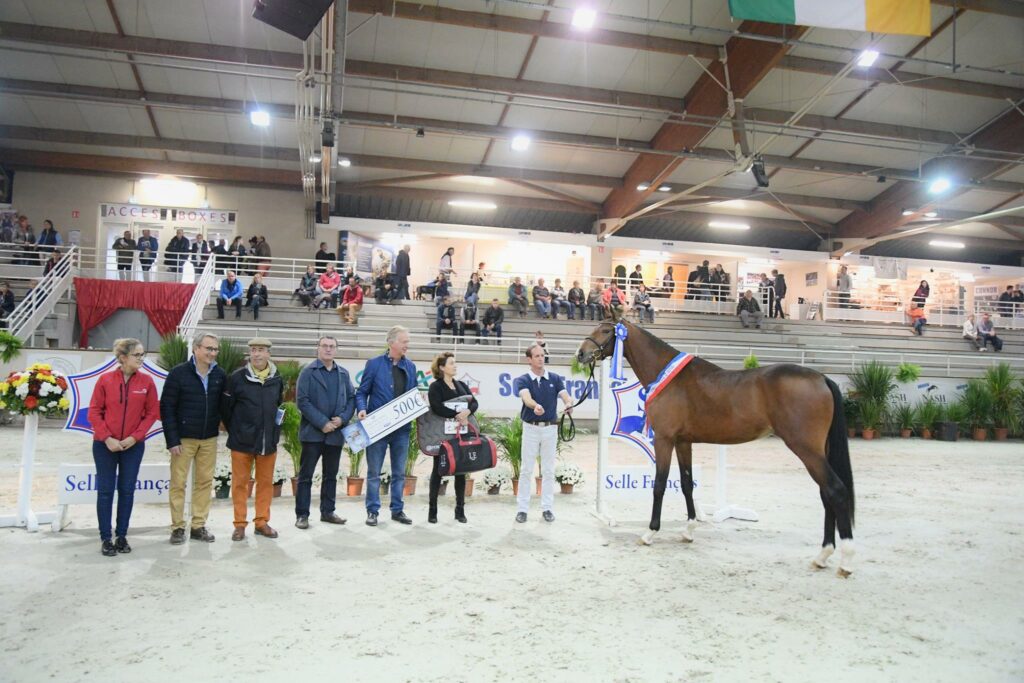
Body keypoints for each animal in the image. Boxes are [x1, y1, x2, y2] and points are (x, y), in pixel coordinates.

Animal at [577, 321, 856, 577]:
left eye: (605, 330)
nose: (581, 353)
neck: (670, 378)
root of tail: (822, 378)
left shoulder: (664, 440)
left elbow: (659, 485)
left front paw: (650, 532)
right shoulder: (683, 442)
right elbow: (686, 484)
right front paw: (689, 530)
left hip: (807, 450)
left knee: (836, 491)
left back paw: (844, 561)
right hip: (819, 451)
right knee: (826, 495)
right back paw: (823, 556)